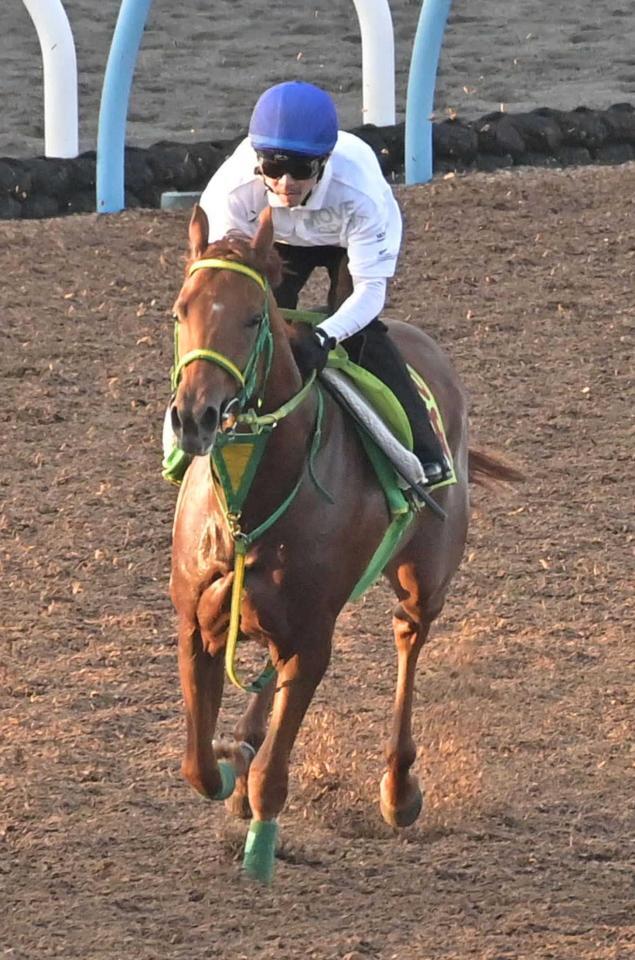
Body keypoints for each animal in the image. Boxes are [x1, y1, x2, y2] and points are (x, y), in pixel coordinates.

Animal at [168, 204, 519, 882]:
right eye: (181, 310)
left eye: (253, 317)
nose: (195, 416)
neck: (252, 504)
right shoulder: (196, 623)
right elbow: (199, 765)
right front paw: (229, 759)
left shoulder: (313, 641)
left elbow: (271, 777)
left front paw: (260, 849)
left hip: (425, 577)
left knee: (409, 636)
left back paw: (399, 791)